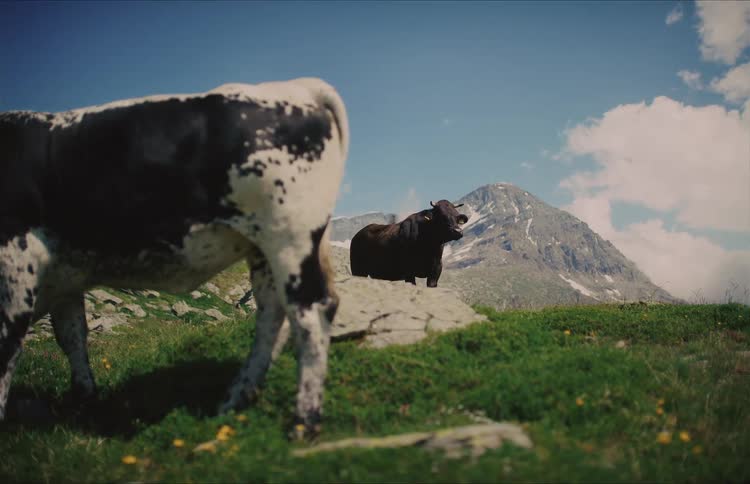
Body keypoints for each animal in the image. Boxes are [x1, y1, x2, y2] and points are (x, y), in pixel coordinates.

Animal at [0, 77, 348, 439]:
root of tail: (297, 86)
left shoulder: (16, 256)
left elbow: (8, 345)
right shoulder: (66, 278)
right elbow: (71, 336)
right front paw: (85, 401)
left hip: (289, 239)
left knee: (311, 312)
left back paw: (303, 422)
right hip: (264, 251)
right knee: (271, 317)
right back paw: (234, 401)